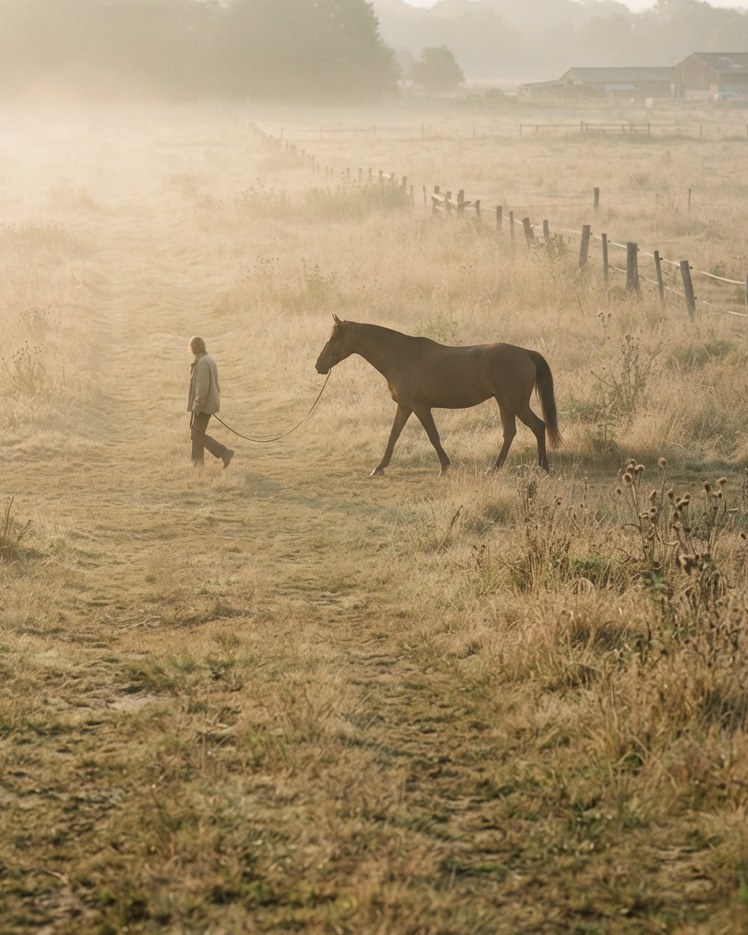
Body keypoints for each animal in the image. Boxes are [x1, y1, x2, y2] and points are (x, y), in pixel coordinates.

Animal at [315, 316, 561, 476]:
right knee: (525, 429)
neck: (402, 356)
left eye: (334, 338)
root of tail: (525, 353)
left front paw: (445, 467)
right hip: (508, 404)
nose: (319, 365)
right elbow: (393, 436)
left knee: (530, 427)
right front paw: (380, 467)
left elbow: (433, 436)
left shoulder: (420, 407)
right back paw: (529, 465)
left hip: (513, 403)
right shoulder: (404, 407)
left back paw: (518, 466)